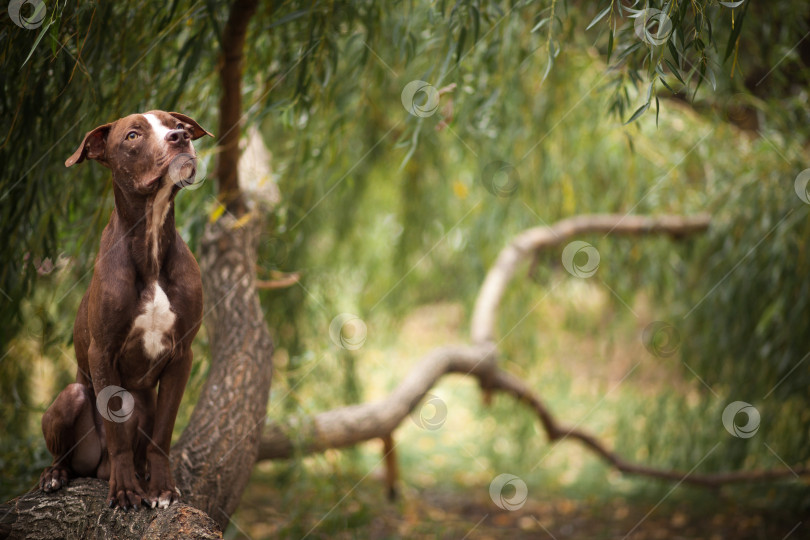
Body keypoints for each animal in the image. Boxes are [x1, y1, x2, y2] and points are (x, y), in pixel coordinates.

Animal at [39, 110, 210, 510]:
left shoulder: (182, 355)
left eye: (175, 123)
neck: (150, 242)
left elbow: (162, 435)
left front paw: (161, 489)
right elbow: (116, 433)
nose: (180, 136)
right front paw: (125, 491)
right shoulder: (102, 352)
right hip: (72, 397)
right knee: (67, 453)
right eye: (133, 135)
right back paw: (56, 475)